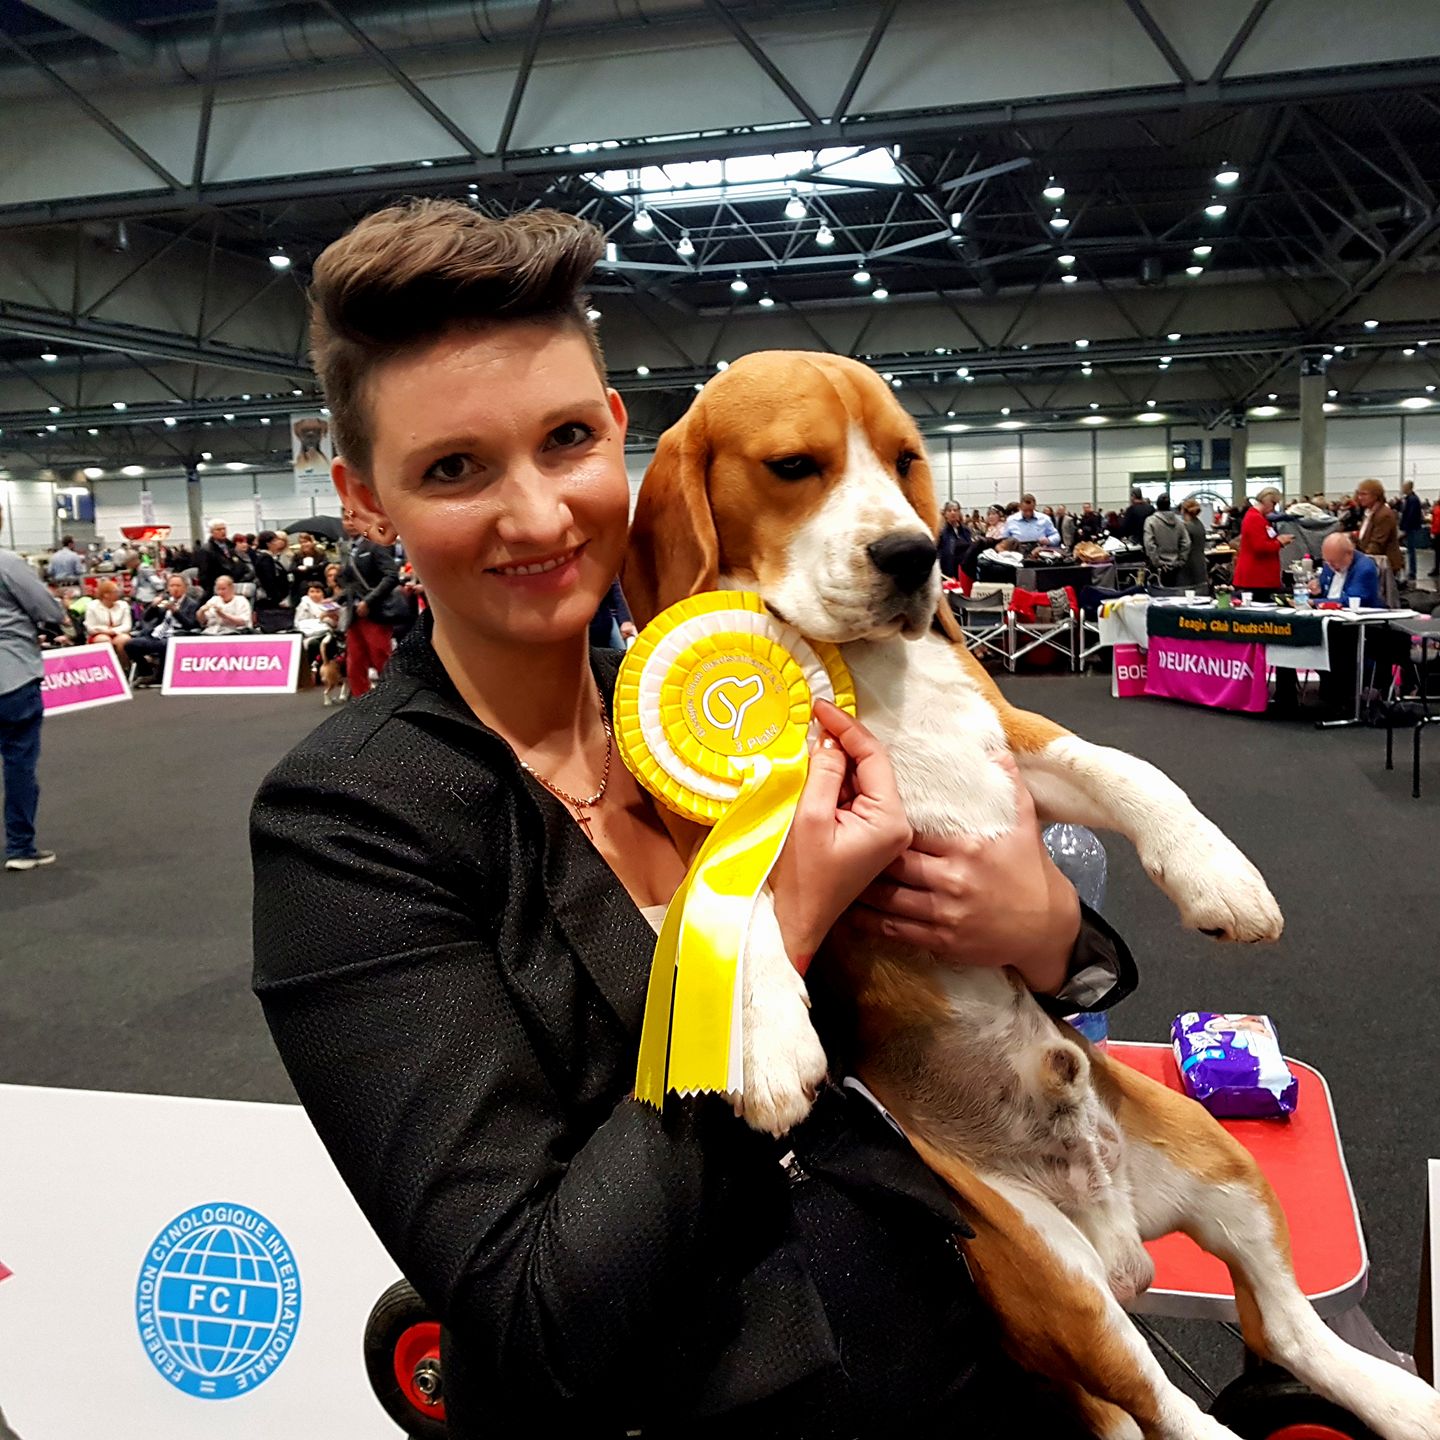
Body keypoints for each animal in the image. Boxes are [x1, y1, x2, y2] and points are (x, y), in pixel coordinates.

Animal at [623, 351, 1439, 1440]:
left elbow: (1131, 770)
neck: (867, 668)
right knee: (1172, 1407)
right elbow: (741, 908)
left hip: (1221, 1163)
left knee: (1289, 1330)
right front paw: (764, 1045)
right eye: (794, 466)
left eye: (905, 460)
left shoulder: (1015, 742)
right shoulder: (715, 831)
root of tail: (1121, 1233)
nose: (912, 553)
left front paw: (1220, 875)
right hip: (1046, 1267)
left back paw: (1402, 1399)